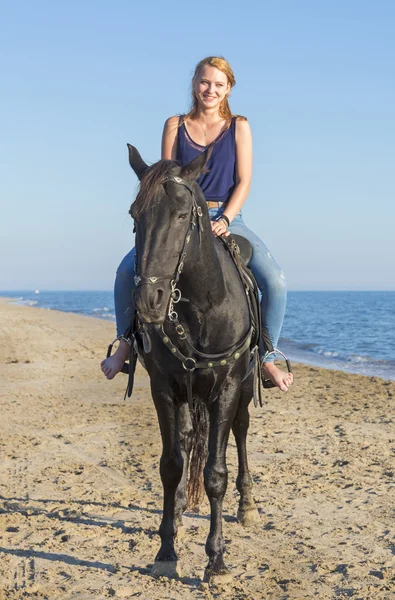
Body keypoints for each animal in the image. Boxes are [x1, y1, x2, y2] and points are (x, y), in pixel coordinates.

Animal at [128, 143, 262, 584]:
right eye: (134, 216)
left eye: (183, 215)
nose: (148, 302)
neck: (202, 308)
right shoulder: (164, 388)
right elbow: (171, 465)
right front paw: (166, 551)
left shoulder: (226, 389)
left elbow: (216, 474)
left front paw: (216, 558)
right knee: (187, 441)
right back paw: (183, 511)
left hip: (243, 389)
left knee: (240, 432)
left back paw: (248, 506)